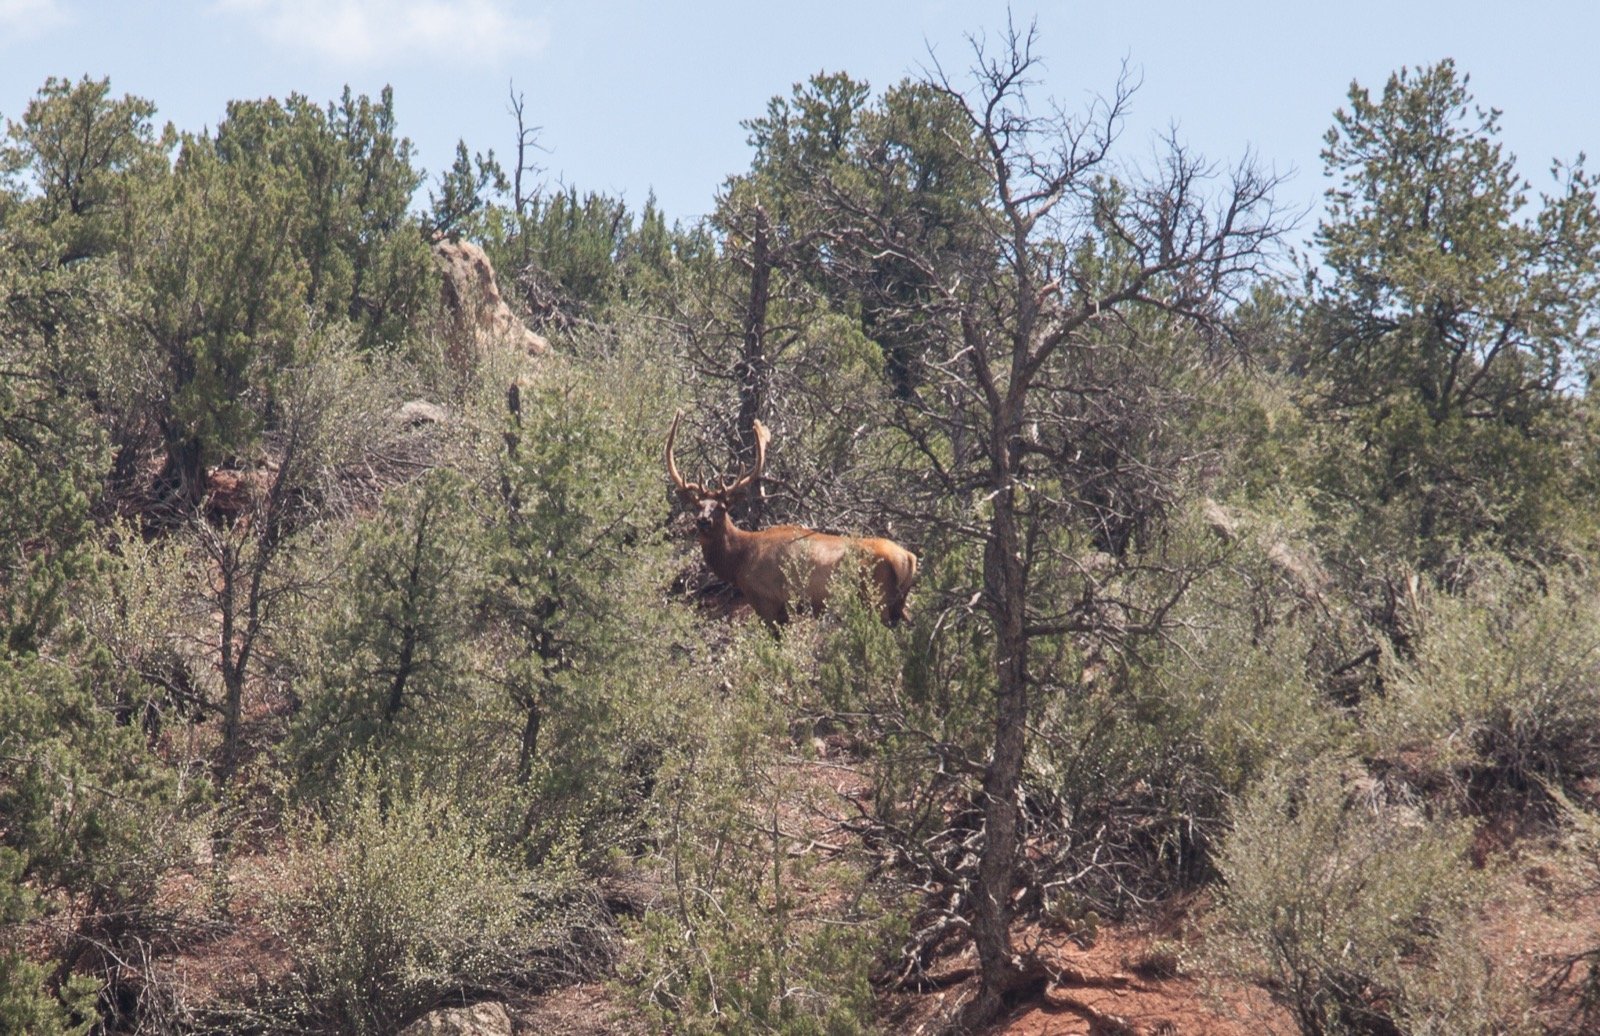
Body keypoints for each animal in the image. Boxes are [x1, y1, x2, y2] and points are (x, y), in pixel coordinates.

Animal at [666, 414, 918, 626]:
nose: (703, 521)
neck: (739, 560)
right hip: (899, 604)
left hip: (877, 600)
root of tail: (907, 558)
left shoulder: (766, 600)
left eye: (721, 507)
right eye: (698, 505)